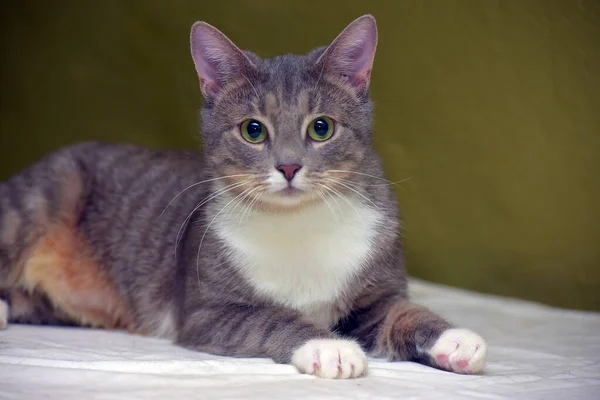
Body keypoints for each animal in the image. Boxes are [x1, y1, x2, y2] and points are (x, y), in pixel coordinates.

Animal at [0, 15, 488, 378]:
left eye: (322, 127)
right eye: (253, 130)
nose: (288, 167)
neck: (300, 225)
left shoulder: (374, 293)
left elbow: (400, 312)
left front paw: (454, 338)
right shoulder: (206, 311)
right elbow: (269, 317)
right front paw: (328, 347)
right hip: (44, 199)